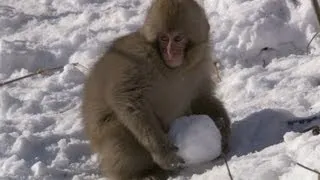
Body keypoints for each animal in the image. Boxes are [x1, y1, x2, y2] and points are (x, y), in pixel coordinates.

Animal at [80, 0, 230, 179]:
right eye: (164, 39)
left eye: (177, 38)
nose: (170, 52)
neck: (171, 69)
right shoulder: (137, 58)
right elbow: (127, 100)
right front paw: (164, 153)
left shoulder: (199, 66)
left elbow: (200, 98)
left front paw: (222, 125)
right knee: (117, 129)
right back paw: (143, 174)